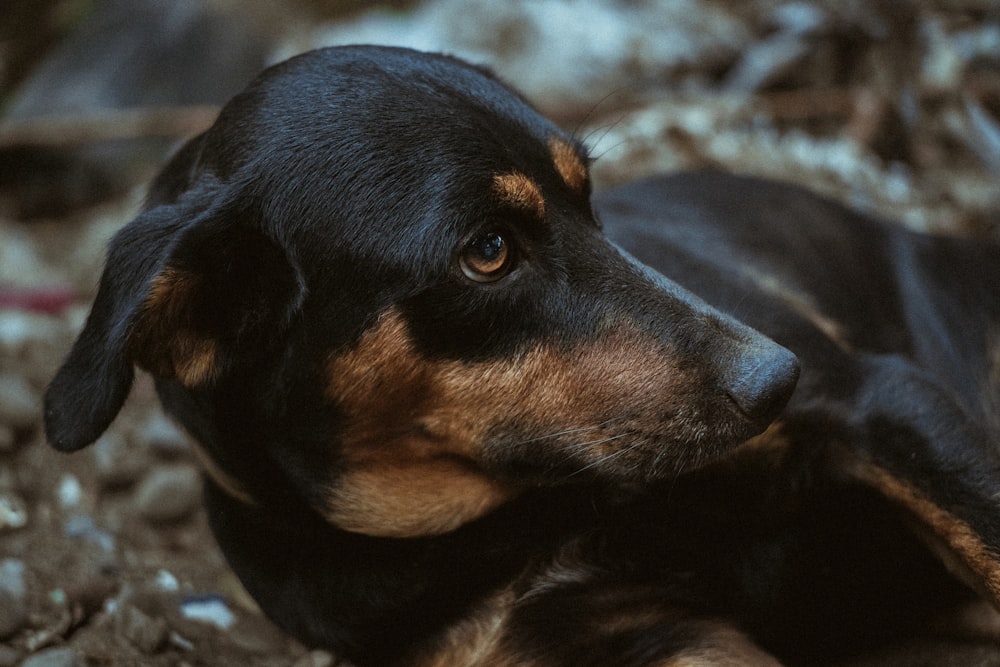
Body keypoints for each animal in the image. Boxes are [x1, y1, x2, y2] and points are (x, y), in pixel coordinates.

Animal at [45, 44, 1000, 664]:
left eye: (589, 199)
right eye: (488, 250)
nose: (780, 380)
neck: (513, 522)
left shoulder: (883, 400)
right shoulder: (627, 636)